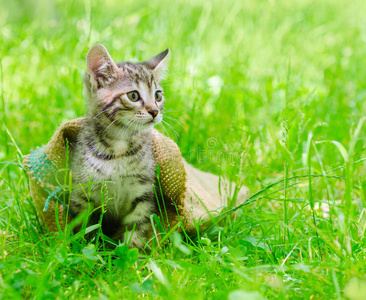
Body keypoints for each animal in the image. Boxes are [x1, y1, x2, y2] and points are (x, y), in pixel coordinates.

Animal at [69, 42, 169, 248]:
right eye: (133, 96)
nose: (155, 111)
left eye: (158, 95)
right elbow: (85, 231)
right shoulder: (82, 194)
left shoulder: (143, 194)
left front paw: (131, 255)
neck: (118, 148)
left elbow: (136, 232)